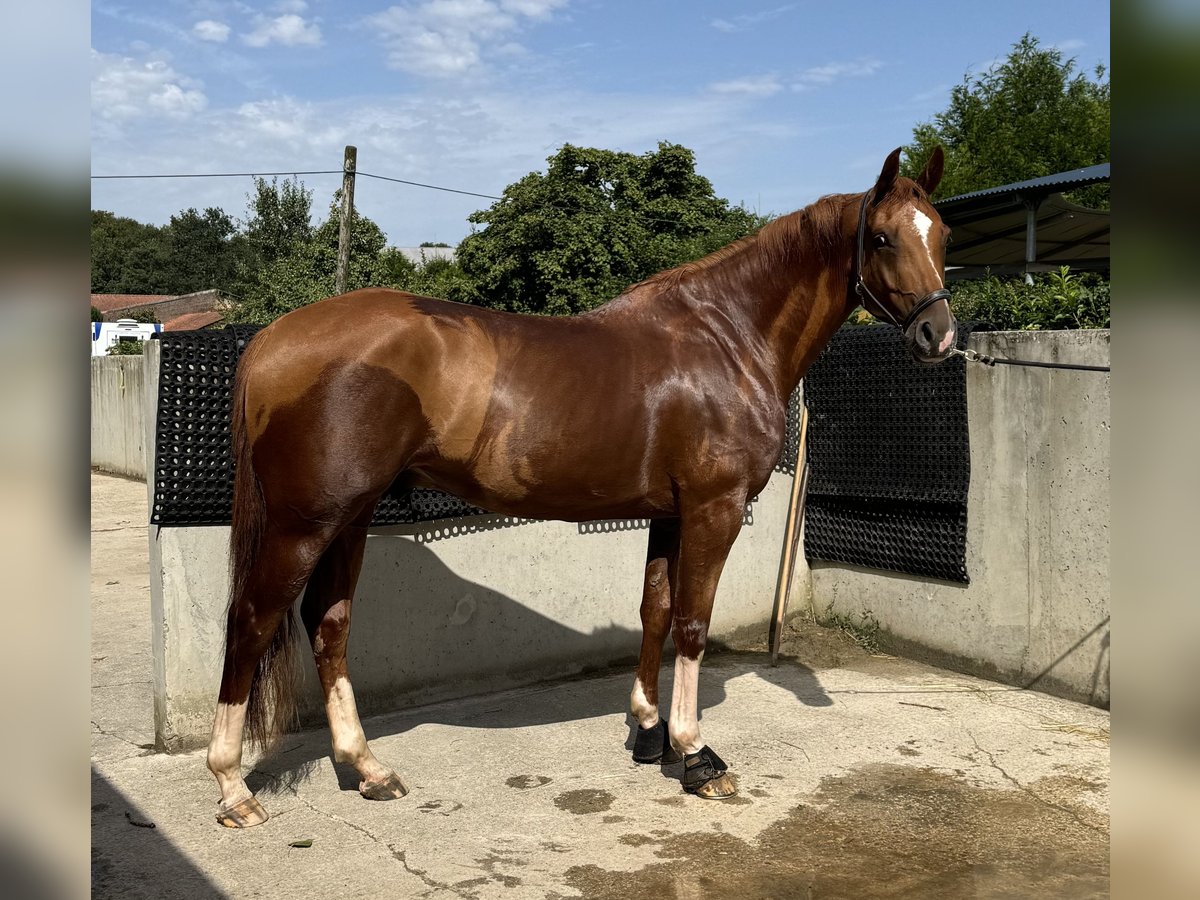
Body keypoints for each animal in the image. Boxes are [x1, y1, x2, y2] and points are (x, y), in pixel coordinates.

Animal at [206, 150, 955, 830]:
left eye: (942, 234)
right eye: (882, 237)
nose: (939, 336)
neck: (728, 338)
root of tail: (271, 337)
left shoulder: (669, 514)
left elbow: (655, 610)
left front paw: (649, 733)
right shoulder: (714, 509)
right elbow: (692, 622)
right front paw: (696, 754)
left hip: (352, 516)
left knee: (327, 624)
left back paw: (366, 768)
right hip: (304, 523)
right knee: (251, 620)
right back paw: (233, 787)